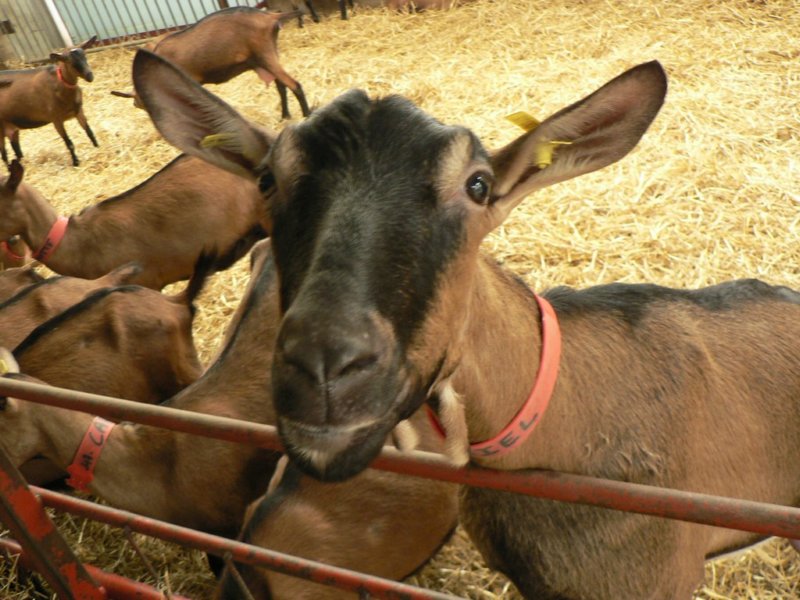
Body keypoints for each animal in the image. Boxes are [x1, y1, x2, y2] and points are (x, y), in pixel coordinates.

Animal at [0, 37, 99, 166]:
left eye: (85, 56)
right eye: (71, 63)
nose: (90, 76)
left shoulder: (78, 111)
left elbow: (89, 132)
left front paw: (98, 147)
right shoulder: (56, 119)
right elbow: (69, 143)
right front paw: (76, 162)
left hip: (11, 126)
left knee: (16, 149)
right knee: (4, 154)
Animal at [112, 7, 310, 120]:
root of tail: (269, 16)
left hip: (265, 54)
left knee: (295, 85)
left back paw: (307, 116)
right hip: (263, 58)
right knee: (282, 86)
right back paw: (285, 116)